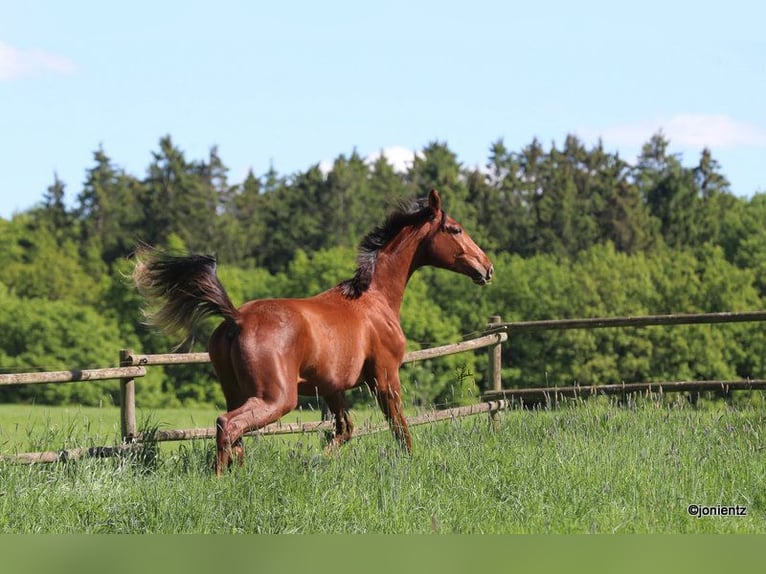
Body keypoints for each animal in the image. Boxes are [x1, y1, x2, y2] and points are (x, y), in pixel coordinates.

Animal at [133, 189, 493, 474]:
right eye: (455, 229)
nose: (487, 268)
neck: (373, 300)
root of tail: (236, 318)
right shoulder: (385, 377)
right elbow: (399, 427)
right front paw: (410, 461)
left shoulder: (333, 388)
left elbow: (345, 429)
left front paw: (318, 461)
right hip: (277, 398)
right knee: (228, 424)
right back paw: (222, 481)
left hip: (236, 391)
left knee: (235, 434)